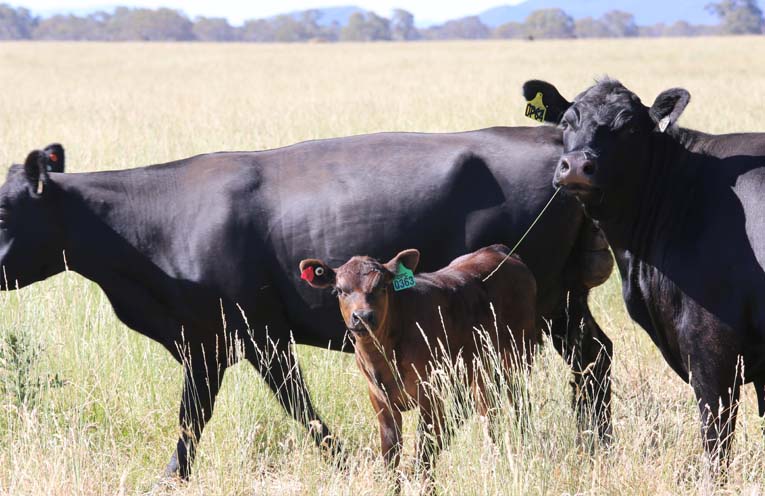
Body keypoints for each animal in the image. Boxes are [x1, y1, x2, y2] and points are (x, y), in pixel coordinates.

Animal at [298, 244, 536, 488]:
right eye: (339, 290)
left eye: (382, 286)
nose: (362, 316)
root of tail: (499, 250)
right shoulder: (380, 400)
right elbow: (391, 453)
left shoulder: (430, 394)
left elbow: (425, 450)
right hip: (480, 370)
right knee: (489, 413)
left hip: (519, 354)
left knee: (520, 405)